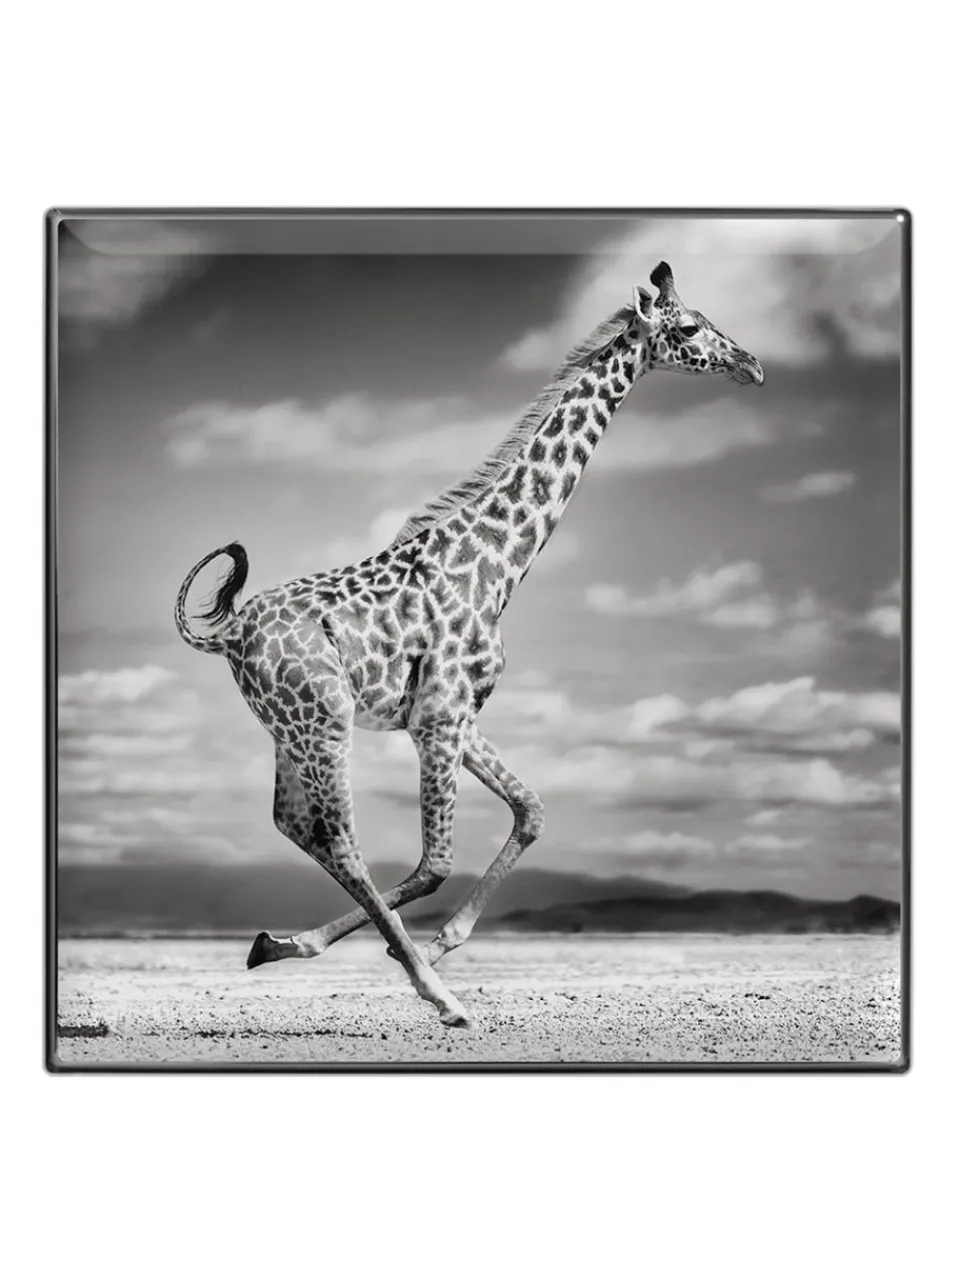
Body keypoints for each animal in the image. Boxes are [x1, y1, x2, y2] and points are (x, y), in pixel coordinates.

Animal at [174, 261, 764, 1027]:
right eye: (688, 327)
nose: (753, 365)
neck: (500, 563)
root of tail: (230, 634)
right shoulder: (438, 719)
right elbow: (435, 863)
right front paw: (426, 962)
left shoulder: (456, 714)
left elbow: (531, 811)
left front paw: (431, 942)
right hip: (324, 721)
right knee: (340, 838)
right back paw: (440, 995)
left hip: (289, 729)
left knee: (295, 824)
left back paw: (281, 944)